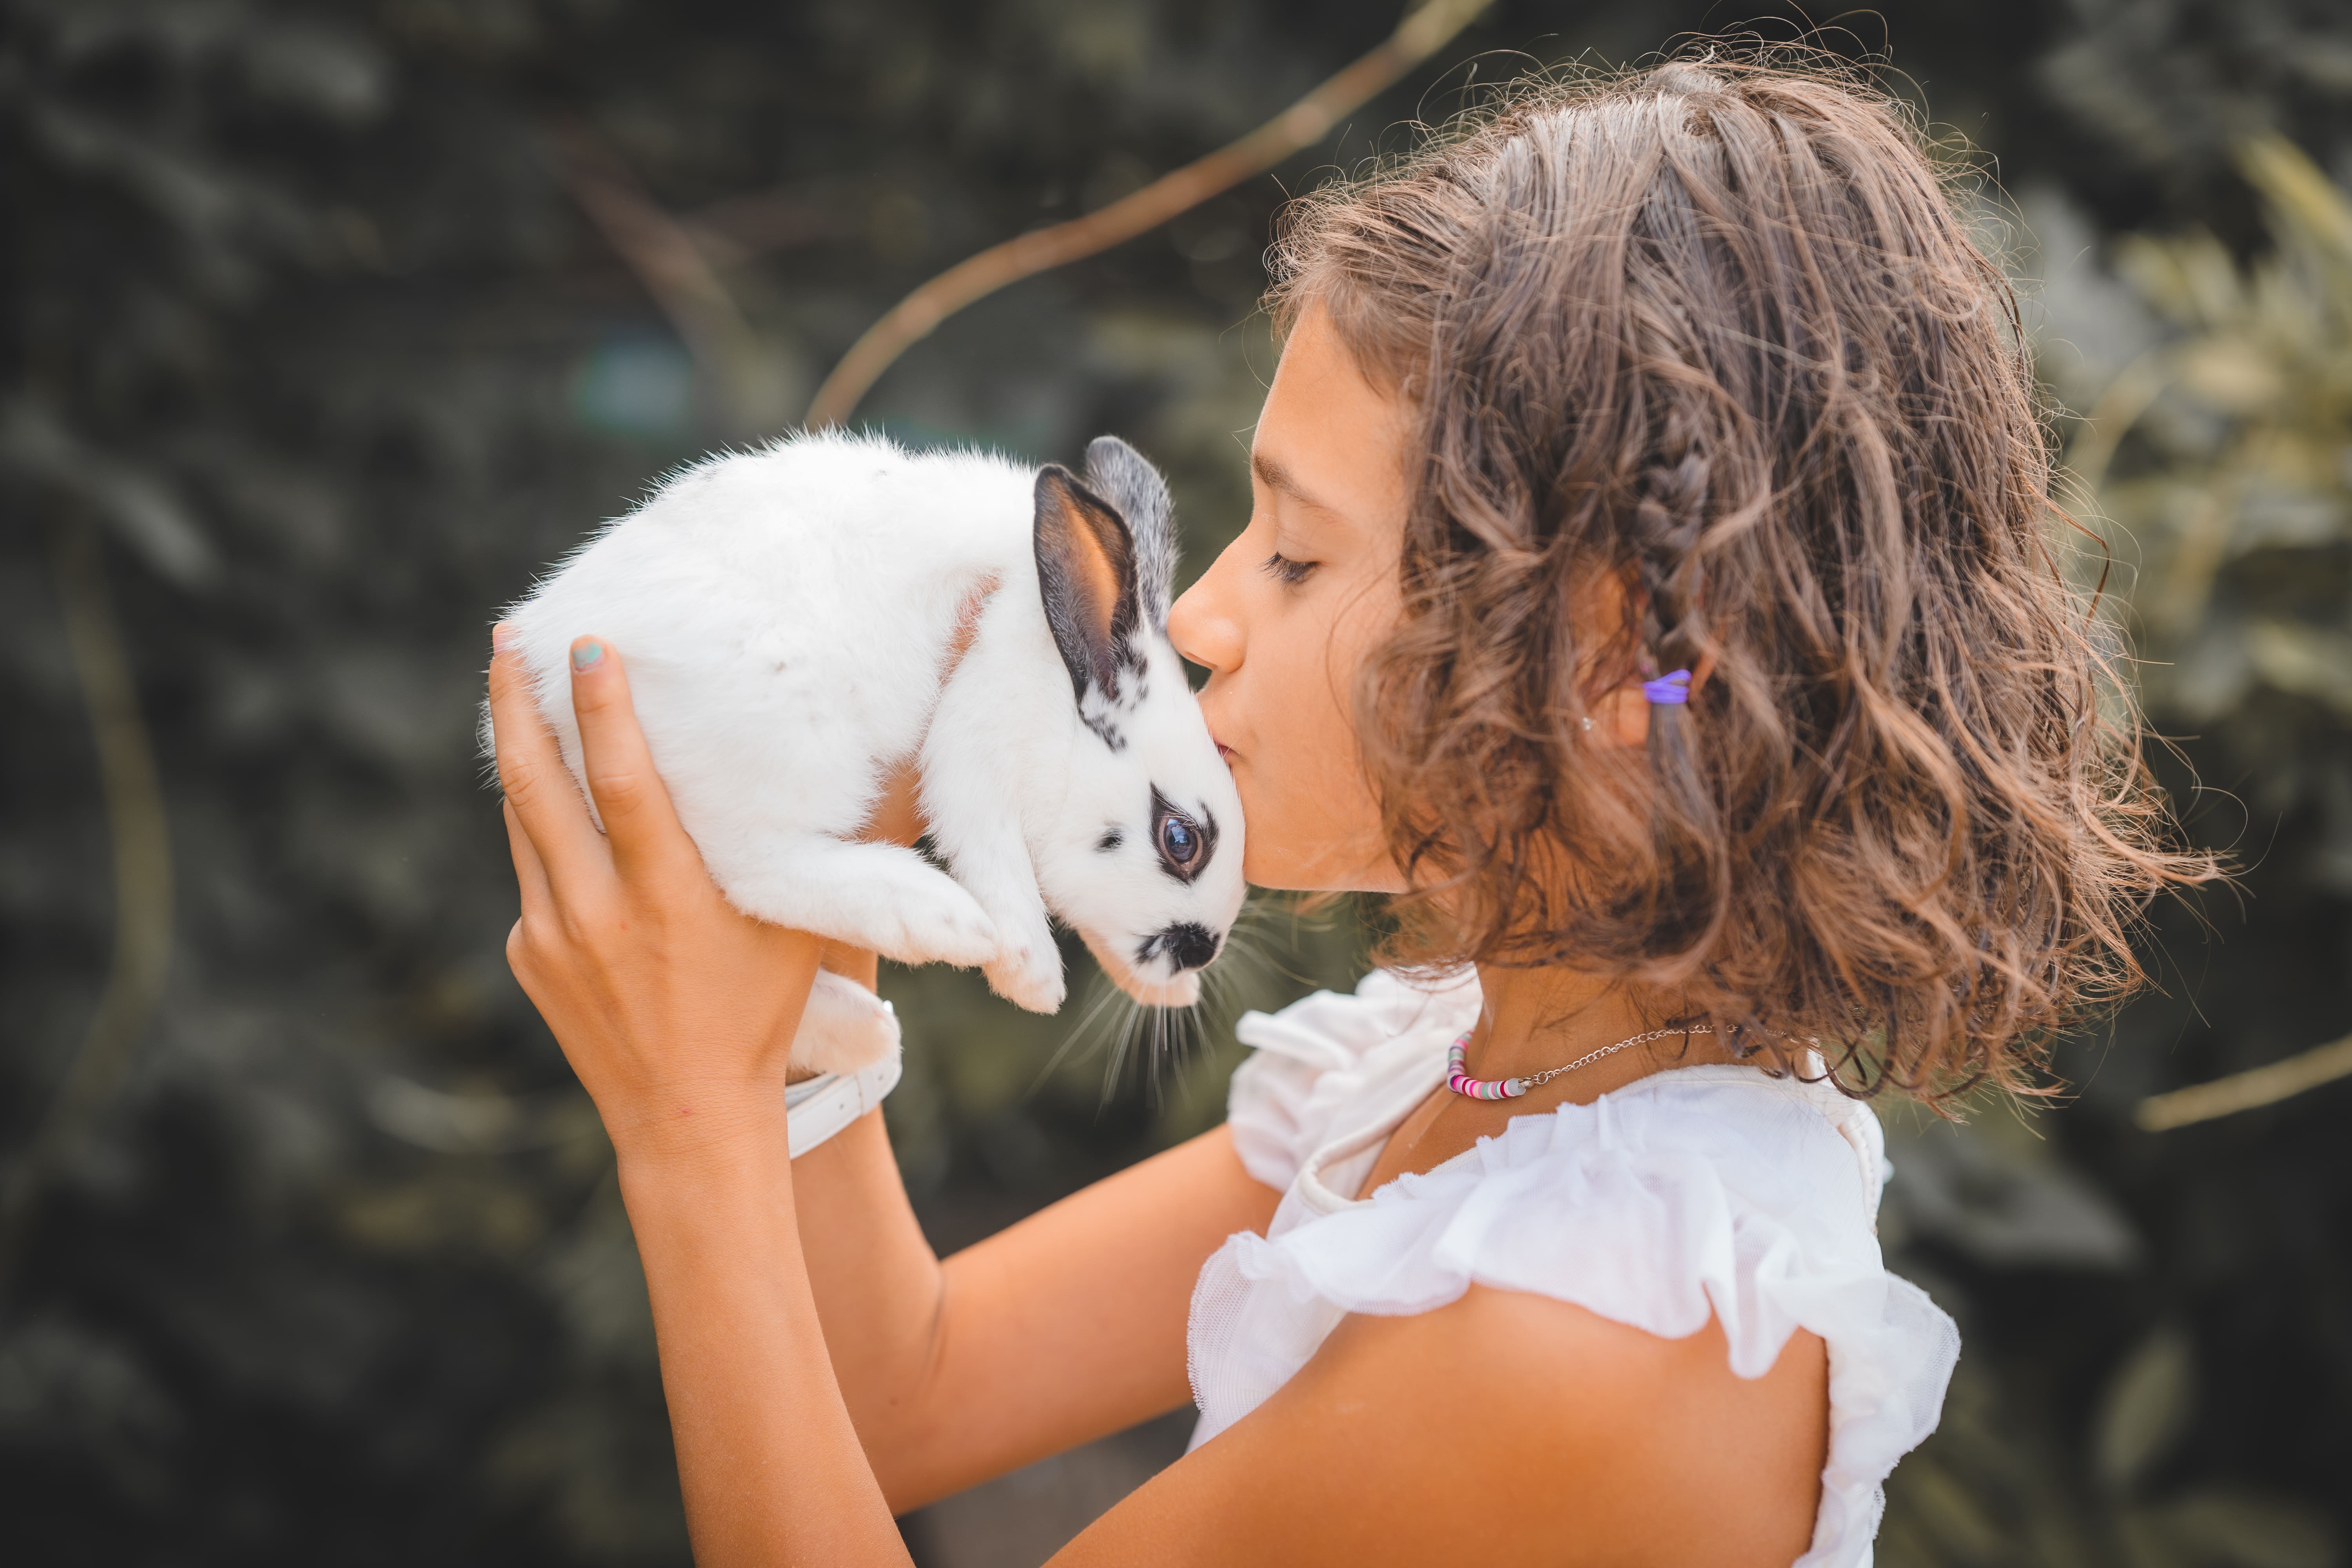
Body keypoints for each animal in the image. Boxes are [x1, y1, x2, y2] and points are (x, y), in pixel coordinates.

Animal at [499, 430, 1251, 1081]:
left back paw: (864, 1031)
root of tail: (546, 659)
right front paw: (1030, 975)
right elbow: (992, 855)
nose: (1201, 953)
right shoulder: (973, 733)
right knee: (755, 867)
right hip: (789, 747)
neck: (1056, 677)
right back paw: (939, 922)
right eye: (1181, 840)